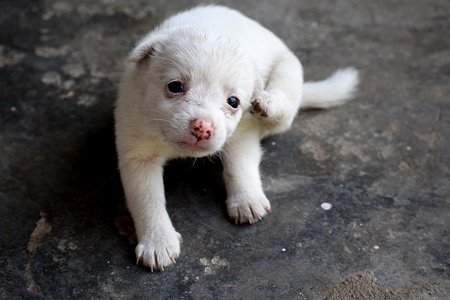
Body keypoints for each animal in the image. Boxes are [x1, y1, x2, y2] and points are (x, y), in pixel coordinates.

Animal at [115, 5, 358, 272]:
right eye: (175, 86)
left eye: (233, 102)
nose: (203, 128)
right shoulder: (138, 155)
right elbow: (147, 200)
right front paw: (158, 242)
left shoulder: (243, 134)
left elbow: (239, 166)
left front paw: (246, 201)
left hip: (288, 71)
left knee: (283, 103)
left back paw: (268, 102)